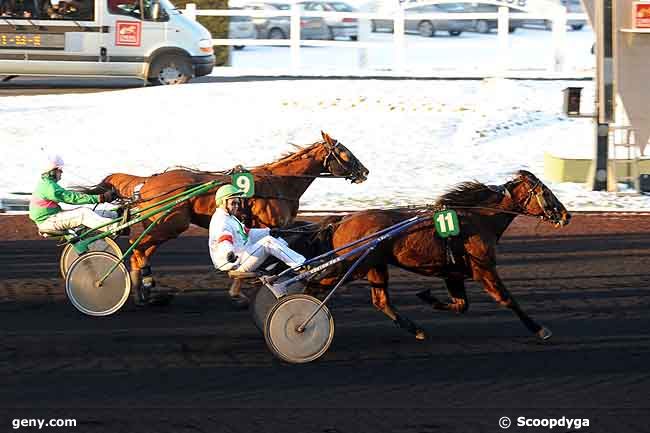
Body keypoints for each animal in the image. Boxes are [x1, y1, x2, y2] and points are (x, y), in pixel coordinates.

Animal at [77, 132, 364, 304]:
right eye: (345, 153)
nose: (365, 172)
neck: (280, 184)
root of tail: (148, 180)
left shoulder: (275, 227)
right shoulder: (268, 224)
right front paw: (239, 290)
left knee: (140, 252)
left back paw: (143, 289)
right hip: (169, 224)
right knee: (138, 250)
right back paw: (136, 287)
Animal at [294, 169, 568, 340]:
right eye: (546, 192)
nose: (566, 215)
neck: (479, 218)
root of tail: (342, 220)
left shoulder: (453, 273)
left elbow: (461, 305)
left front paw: (428, 297)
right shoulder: (483, 268)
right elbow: (507, 299)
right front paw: (539, 329)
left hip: (374, 265)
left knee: (380, 301)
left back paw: (415, 329)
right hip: (354, 265)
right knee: (314, 284)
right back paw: (302, 323)